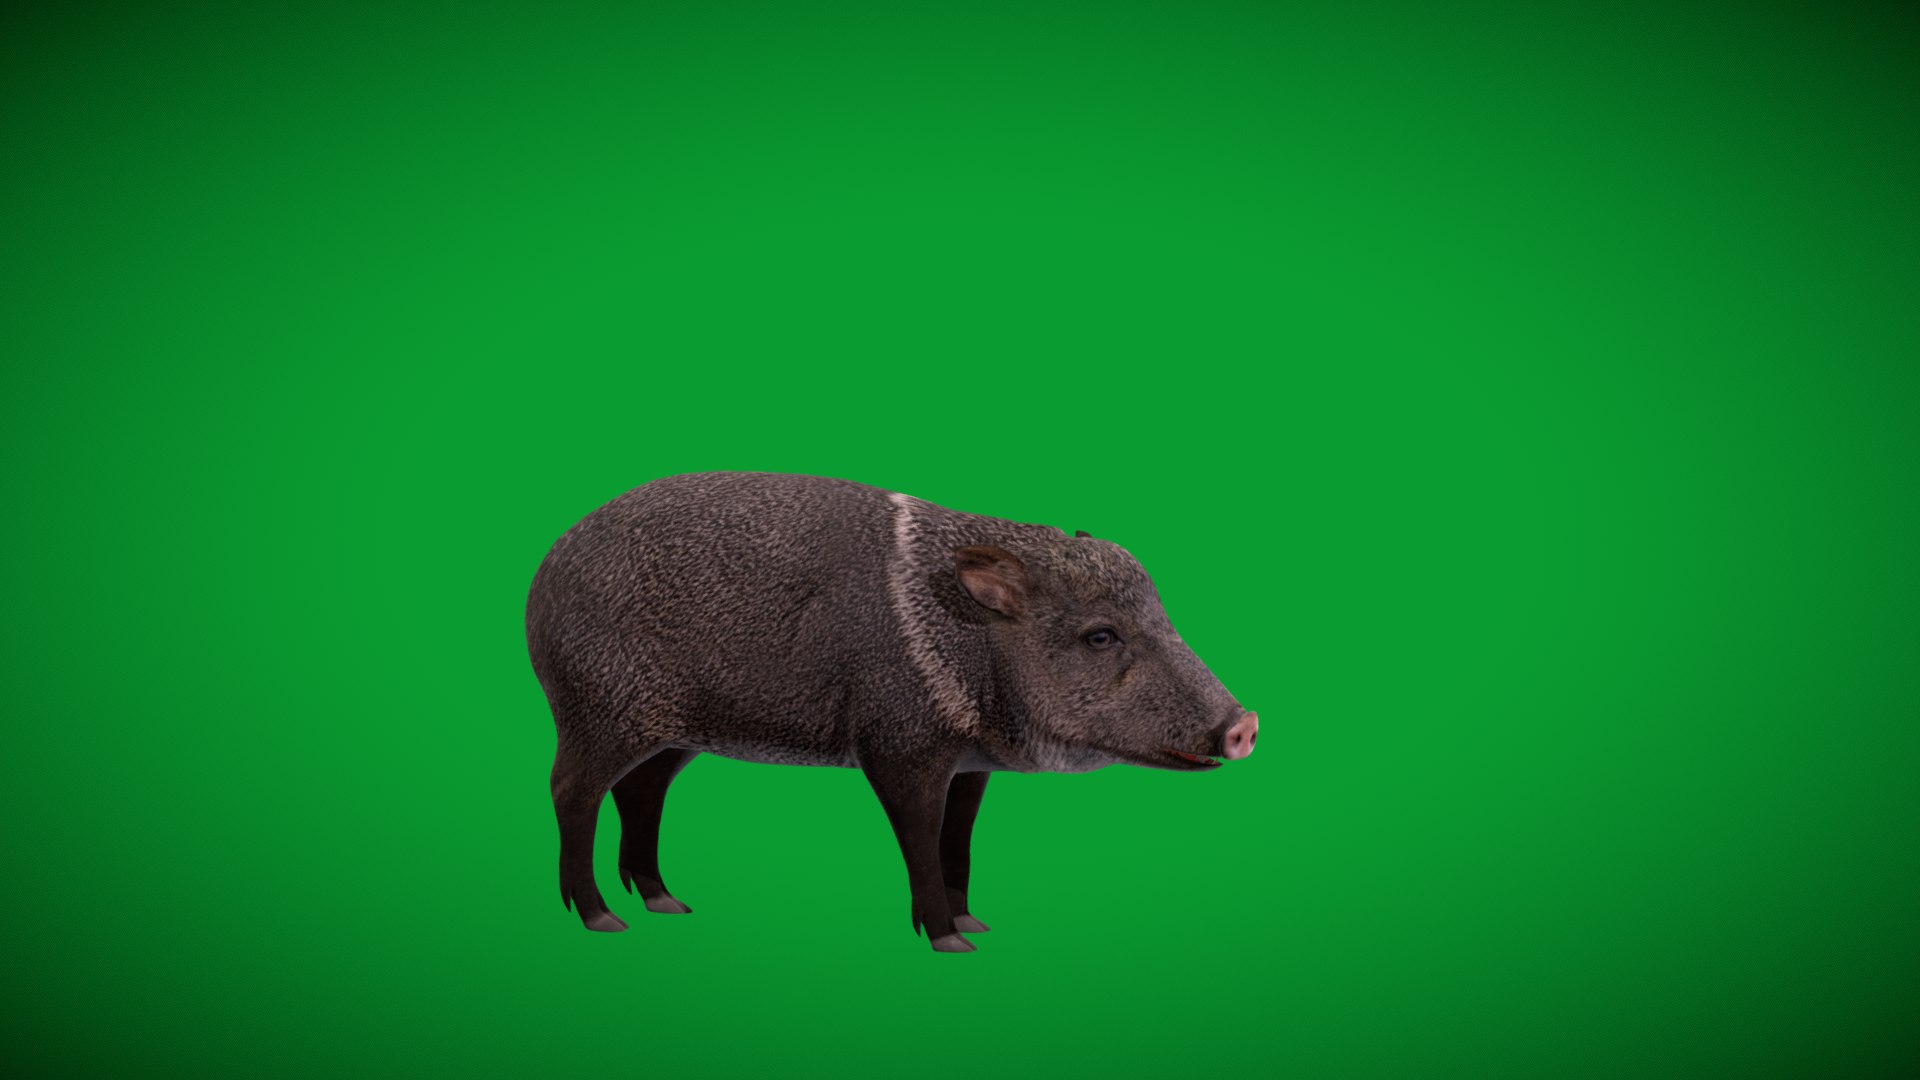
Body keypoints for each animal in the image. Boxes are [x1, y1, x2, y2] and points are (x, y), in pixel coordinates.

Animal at [525, 472, 1256, 952]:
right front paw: (949, 941)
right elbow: (922, 841)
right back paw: (600, 918)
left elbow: (959, 840)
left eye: (1162, 617)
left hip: (675, 733)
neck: (966, 639)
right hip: (601, 713)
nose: (1245, 726)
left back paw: (666, 903)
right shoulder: (898, 749)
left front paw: (972, 924)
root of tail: (542, 575)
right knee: (571, 792)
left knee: (641, 793)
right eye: (1100, 636)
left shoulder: (970, 765)